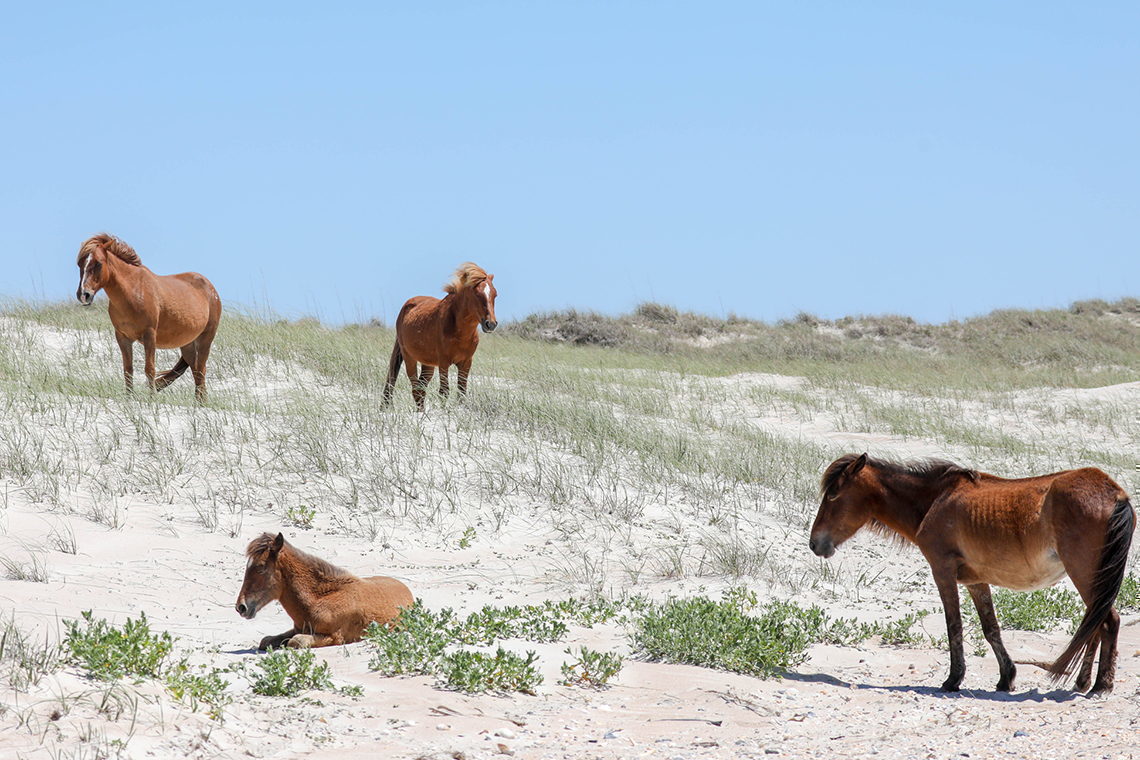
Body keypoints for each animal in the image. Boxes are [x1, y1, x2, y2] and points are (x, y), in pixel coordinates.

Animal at [74, 234, 222, 403]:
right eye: (79, 264)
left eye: (98, 263)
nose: (83, 295)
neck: (133, 292)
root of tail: (211, 289)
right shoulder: (122, 337)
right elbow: (128, 369)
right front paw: (129, 398)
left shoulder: (149, 335)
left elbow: (149, 369)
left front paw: (152, 400)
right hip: (188, 345)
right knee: (196, 371)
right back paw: (199, 402)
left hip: (205, 339)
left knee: (201, 370)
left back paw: (202, 403)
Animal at [233, 533, 412, 651]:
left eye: (261, 568)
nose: (241, 607)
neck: (319, 599)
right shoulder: (298, 629)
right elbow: (266, 640)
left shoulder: (335, 637)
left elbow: (295, 642)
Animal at [383, 264, 499, 412]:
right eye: (477, 294)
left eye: (495, 294)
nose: (491, 324)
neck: (460, 332)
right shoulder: (444, 362)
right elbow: (444, 392)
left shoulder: (466, 363)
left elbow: (461, 392)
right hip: (409, 357)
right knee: (415, 388)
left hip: (428, 363)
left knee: (421, 388)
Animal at [811, 455, 1130, 697]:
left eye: (833, 494)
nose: (815, 543)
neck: (935, 500)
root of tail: (1115, 493)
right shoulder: (977, 581)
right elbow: (991, 629)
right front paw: (1006, 678)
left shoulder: (942, 572)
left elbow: (954, 626)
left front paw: (953, 680)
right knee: (1095, 625)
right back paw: (1082, 683)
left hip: (1085, 574)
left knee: (1107, 622)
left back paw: (1100, 686)